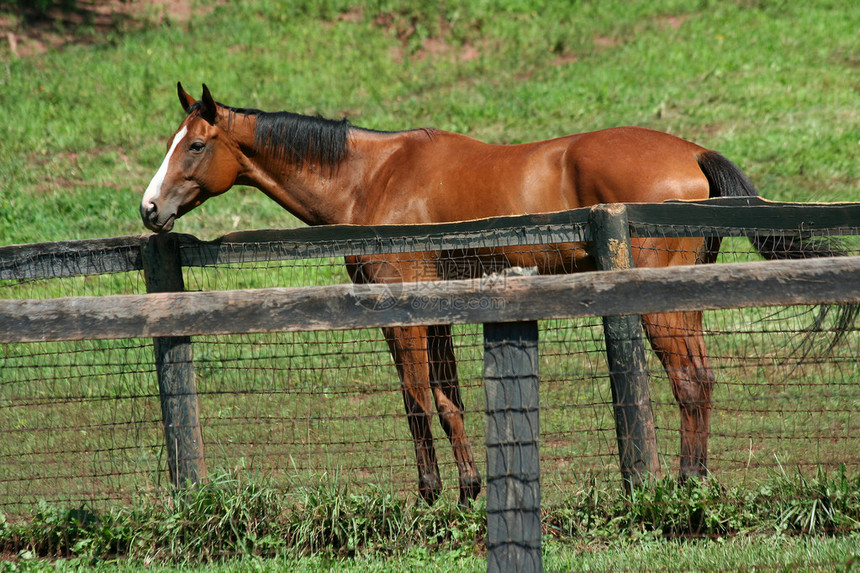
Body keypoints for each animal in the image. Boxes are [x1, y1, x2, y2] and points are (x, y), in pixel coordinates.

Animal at [143, 82, 840, 502]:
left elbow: (417, 399)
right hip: (680, 300)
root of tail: (692, 153)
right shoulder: (440, 310)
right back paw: (693, 481)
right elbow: (448, 398)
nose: (149, 209)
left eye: (196, 145)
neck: (374, 177)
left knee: (689, 382)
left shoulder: (401, 309)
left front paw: (436, 492)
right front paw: (468, 485)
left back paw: (682, 486)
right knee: (700, 381)